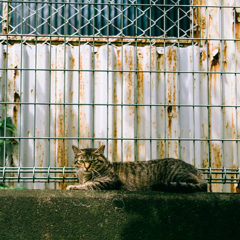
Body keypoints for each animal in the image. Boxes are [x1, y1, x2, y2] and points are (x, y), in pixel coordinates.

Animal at [66, 144, 207, 193]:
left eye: (93, 161)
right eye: (82, 161)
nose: (86, 167)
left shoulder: (107, 181)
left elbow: (89, 185)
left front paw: (73, 186)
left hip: (177, 175)